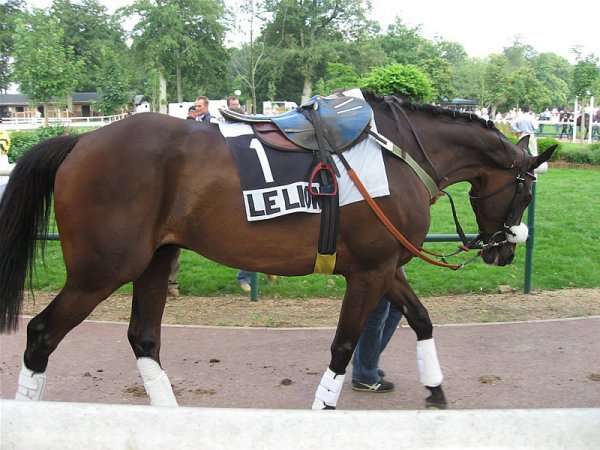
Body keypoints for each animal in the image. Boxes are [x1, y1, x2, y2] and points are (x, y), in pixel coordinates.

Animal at [0, 91, 552, 408]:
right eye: (525, 192)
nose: (504, 250)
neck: (399, 151)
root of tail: (80, 142)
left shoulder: (384, 266)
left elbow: (420, 319)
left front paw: (435, 388)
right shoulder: (370, 271)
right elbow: (344, 346)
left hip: (156, 259)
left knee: (144, 338)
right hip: (103, 269)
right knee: (41, 334)